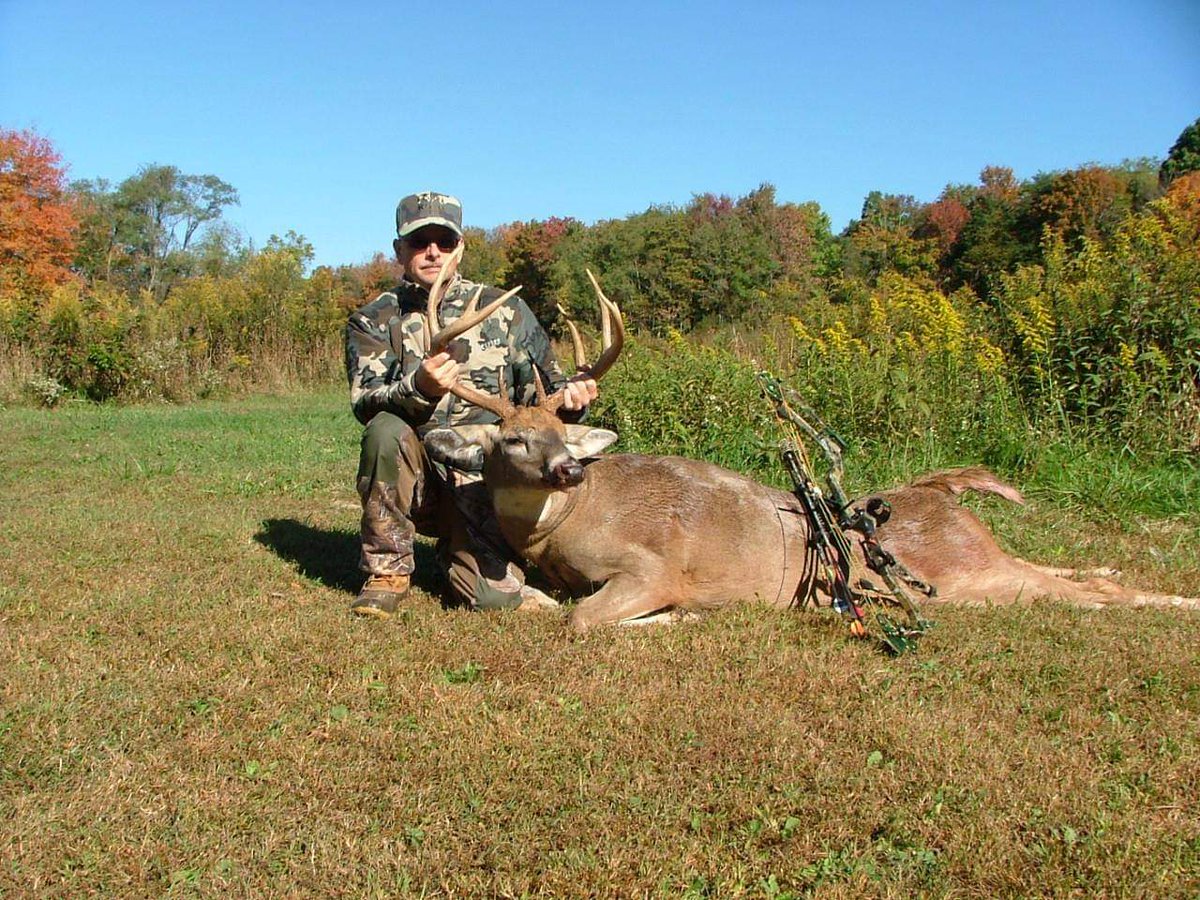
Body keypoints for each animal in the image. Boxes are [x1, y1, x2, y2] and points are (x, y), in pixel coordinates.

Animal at [416, 260, 1200, 632]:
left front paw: (676, 617)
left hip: (966, 578)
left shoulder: (648, 566)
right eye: (516, 439)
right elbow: (541, 604)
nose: (569, 470)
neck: (559, 531)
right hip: (979, 561)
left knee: (1082, 593)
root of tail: (945, 492)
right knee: (1075, 574)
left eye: (561, 434)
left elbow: (581, 619)